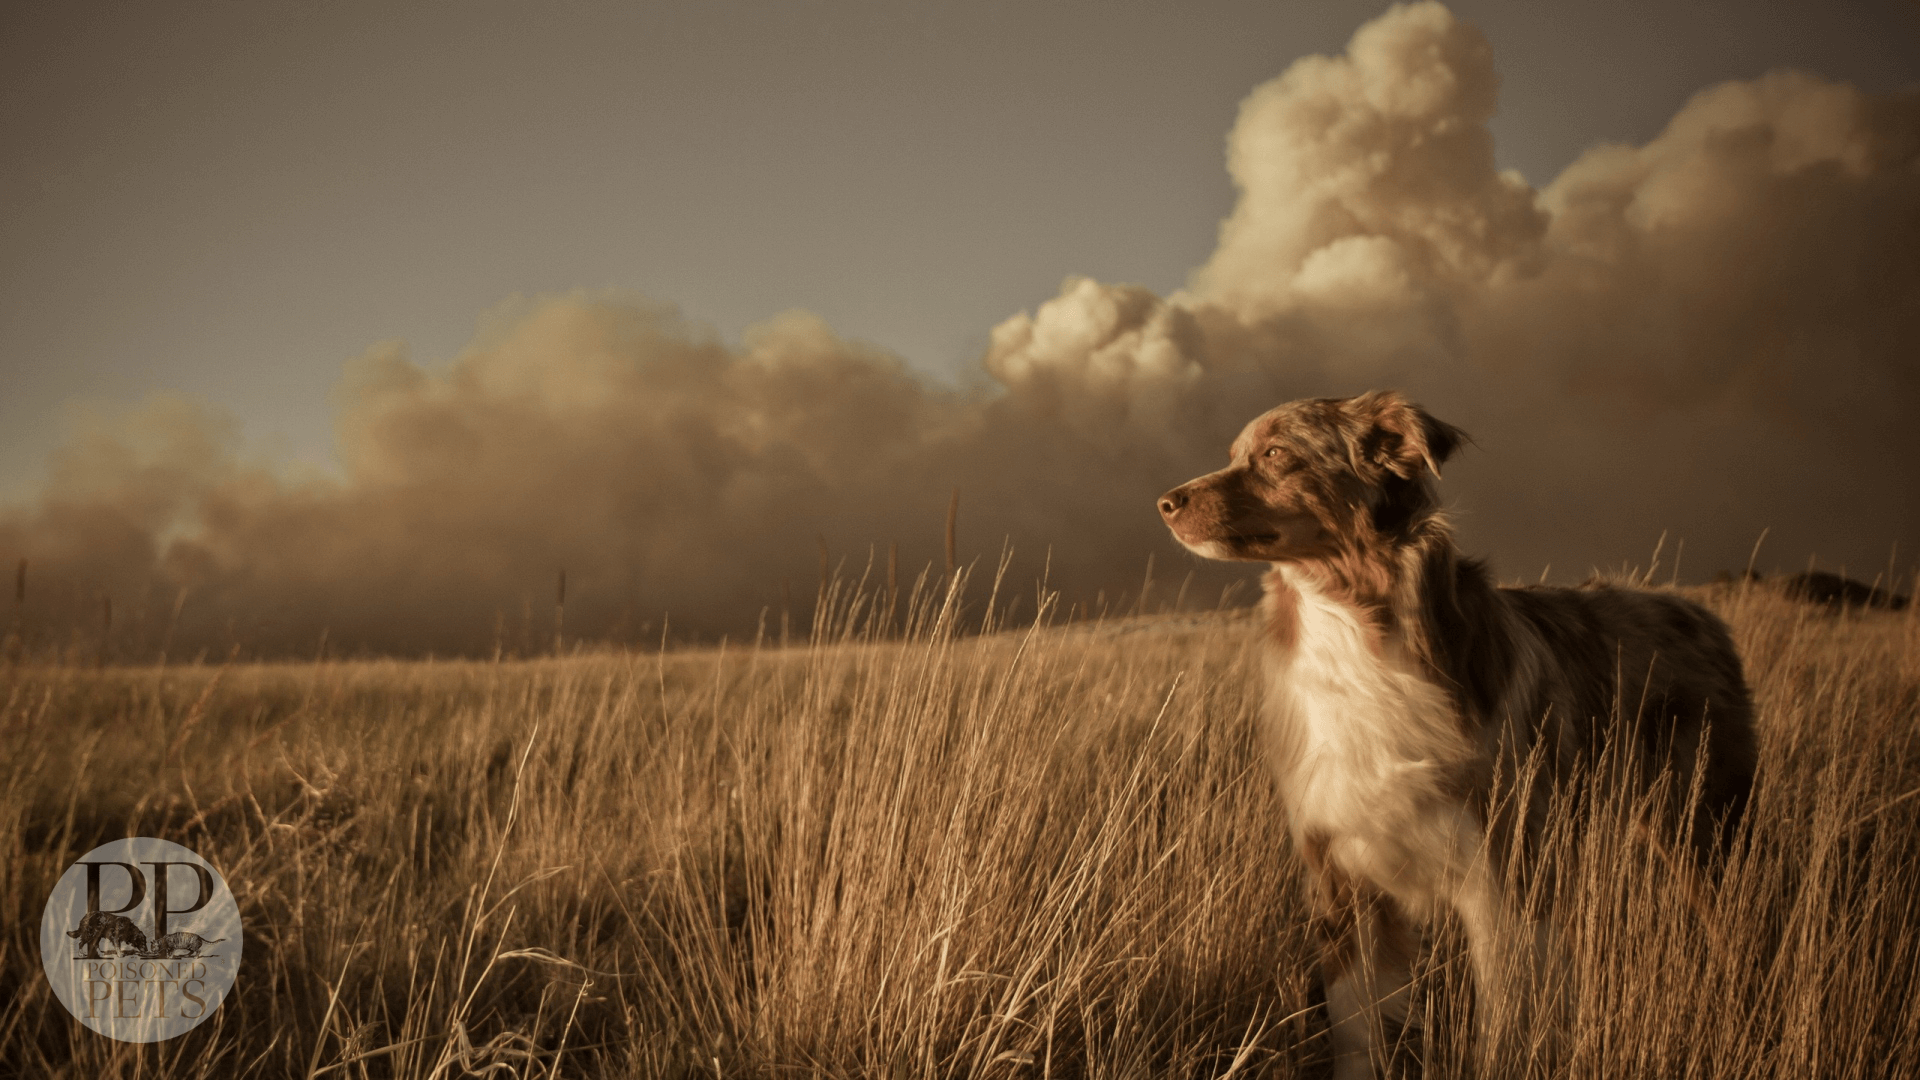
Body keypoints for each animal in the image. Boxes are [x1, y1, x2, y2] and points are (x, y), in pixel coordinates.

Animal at [1152, 390, 1758, 1068]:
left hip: (1705, 834)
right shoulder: (1342, 880)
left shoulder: (1501, 879)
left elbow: (1506, 1024)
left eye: (1278, 454)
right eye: (1234, 455)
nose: (1166, 503)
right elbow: (1357, 1030)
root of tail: (1698, 611)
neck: (1352, 627)